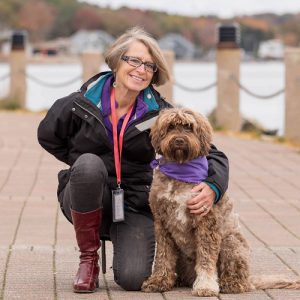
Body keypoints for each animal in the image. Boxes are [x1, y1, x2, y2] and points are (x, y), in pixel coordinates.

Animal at [142, 107, 300, 296]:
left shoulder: (206, 223)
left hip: (230, 243)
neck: (180, 170)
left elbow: (206, 258)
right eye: (171, 126)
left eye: (189, 127)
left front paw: (205, 286)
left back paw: (230, 283)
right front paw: (159, 281)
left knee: (238, 279)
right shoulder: (162, 224)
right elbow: (163, 257)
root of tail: (250, 279)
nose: (179, 140)